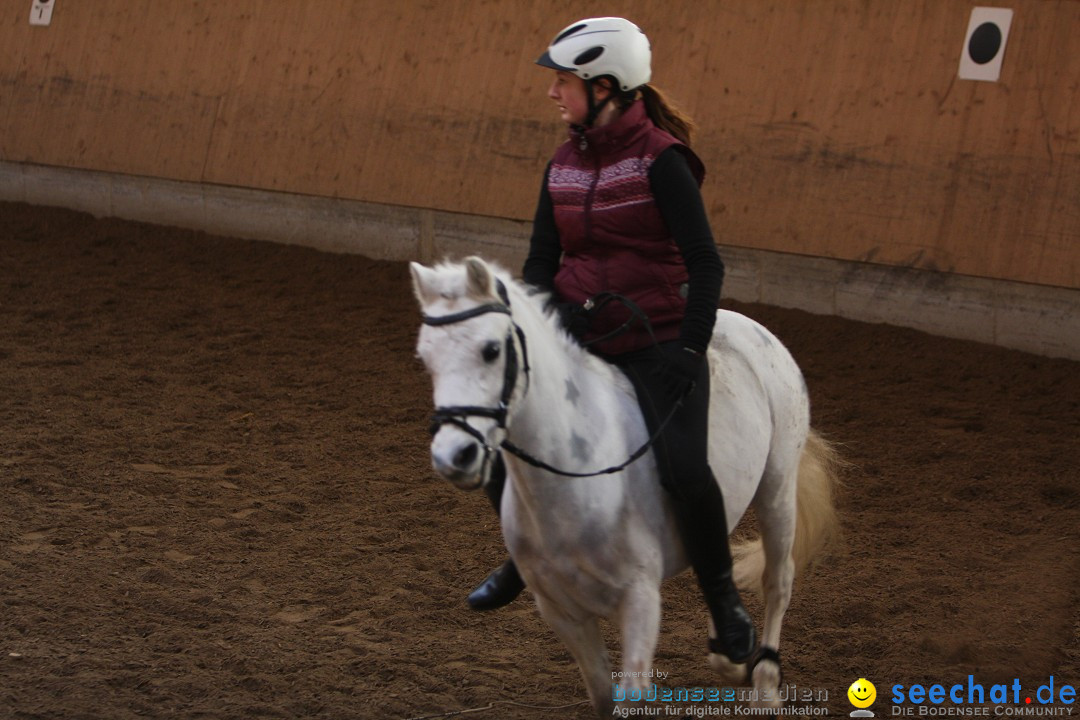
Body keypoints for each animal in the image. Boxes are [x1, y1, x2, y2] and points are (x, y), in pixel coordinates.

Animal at [408, 257, 838, 716]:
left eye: (490, 350)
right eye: (425, 357)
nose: (454, 456)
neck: (574, 480)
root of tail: (751, 326)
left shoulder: (640, 602)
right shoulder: (561, 611)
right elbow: (602, 696)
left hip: (777, 486)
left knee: (778, 579)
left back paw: (765, 681)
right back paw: (731, 647)